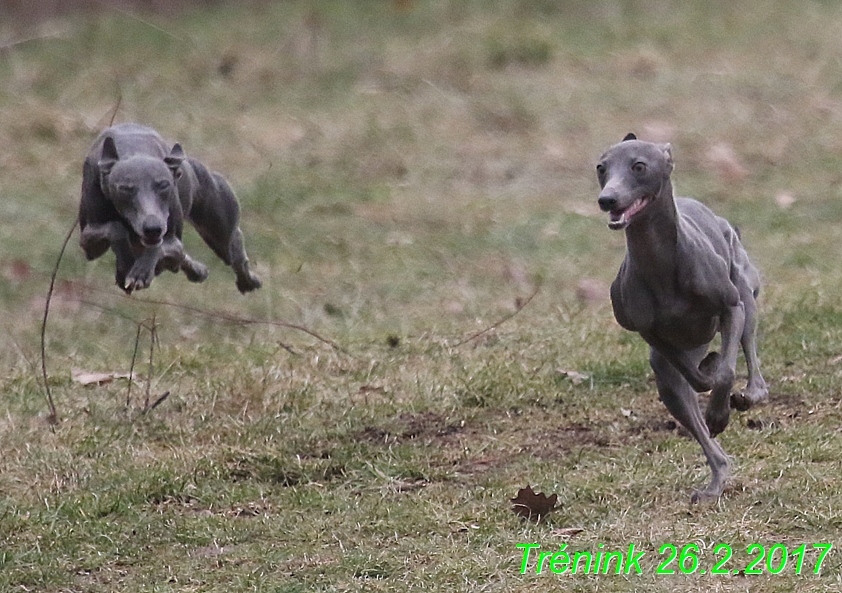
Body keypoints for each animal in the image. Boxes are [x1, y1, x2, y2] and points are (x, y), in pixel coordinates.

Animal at [81, 122, 262, 294]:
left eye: (164, 185)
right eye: (125, 188)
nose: (153, 228)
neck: (134, 148)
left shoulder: (172, 241)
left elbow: (161, 246)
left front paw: (141, 272)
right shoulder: (89, 243)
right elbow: (115, 229)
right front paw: (126, 264)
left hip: (218, 228)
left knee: (232, 250)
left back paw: (248, 280)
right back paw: (196, 270)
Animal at [592, 133, 764, 500]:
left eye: (639, 166)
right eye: (601, 167)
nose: (607, 199)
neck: (660, 264)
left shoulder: (730, 307)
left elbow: (727, 371)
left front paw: (719, 412)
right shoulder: (649, 332)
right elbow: (696, 377)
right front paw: (709, 380)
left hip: (744, 290)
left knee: (751, 353)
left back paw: (749, 393)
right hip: (671, 370)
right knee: (691, 410)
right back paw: (715, 481)